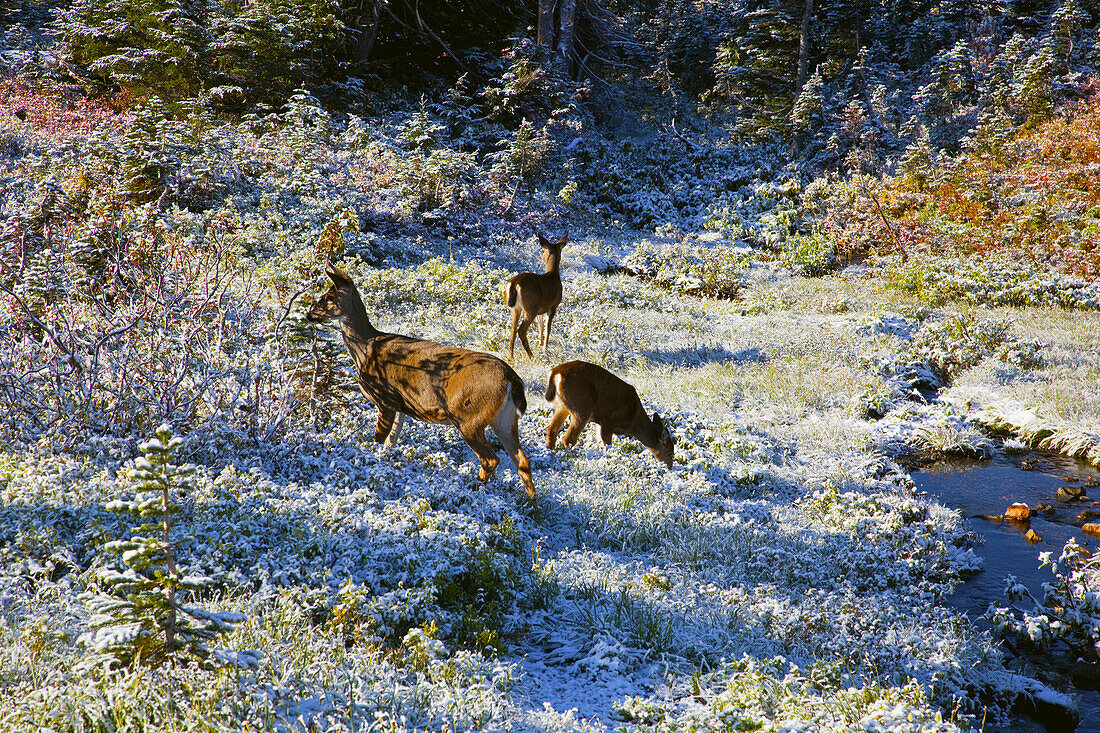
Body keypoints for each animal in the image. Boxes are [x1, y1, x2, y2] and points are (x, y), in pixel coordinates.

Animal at [310, 265, 536, 506]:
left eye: (329, 297)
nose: (309, 313)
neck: (365, 350)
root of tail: (511, 379)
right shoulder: (400, 406)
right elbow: (391, 442)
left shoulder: (385, 398)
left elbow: (378, 441)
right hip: (504, 418)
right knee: (522, 461)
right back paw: (532, 504)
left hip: (468, 416)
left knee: (490, 459)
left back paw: (470, 492)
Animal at [545, 358, 673, 468]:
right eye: (670, 453)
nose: (669, 467)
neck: (633, 418)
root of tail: (555, 372)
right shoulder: (609, 421)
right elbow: (606, 444)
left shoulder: (600, 422)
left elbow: (600, 443)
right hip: (581, 406)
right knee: (569, 438)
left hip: (562, 405)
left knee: (552, 430)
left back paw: (550, 451)